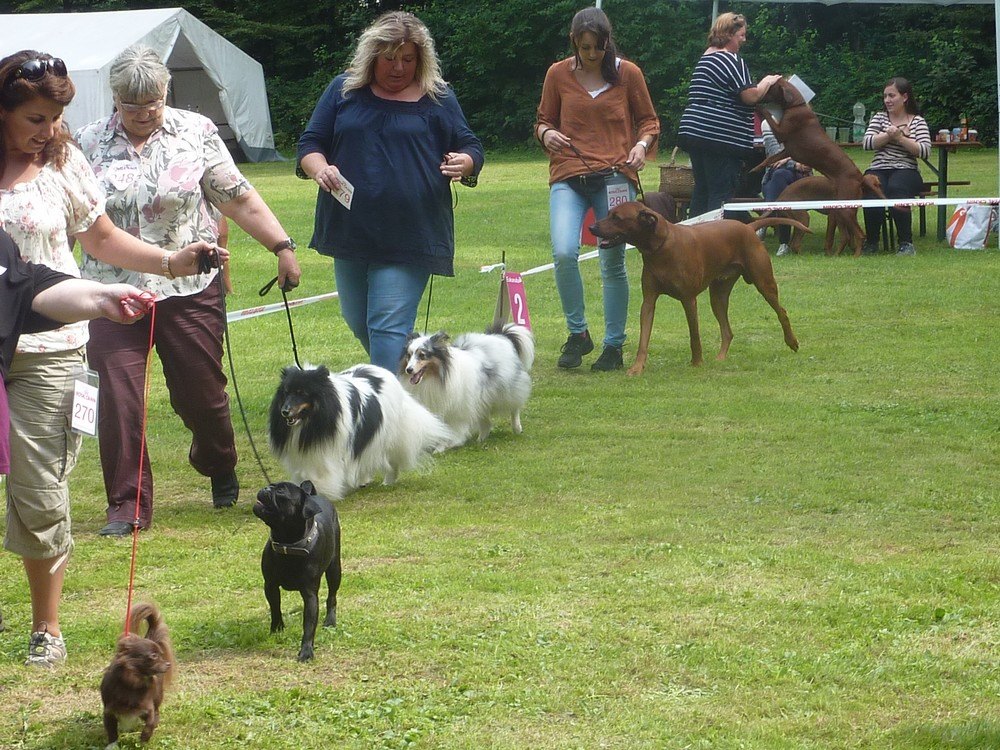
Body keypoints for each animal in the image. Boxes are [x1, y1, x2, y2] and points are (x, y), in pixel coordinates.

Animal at [252, 482, 342, 664]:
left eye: (281, 491)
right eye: (272, 486)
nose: (266, 488)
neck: (289, 545)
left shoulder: (310, 595)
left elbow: (309, 625)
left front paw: (306, 651)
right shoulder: (270, 586)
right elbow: (275, 608)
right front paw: (276, 629)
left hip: (335, 569)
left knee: (332, 597)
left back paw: (330, 621)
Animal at [268, 362, 452, 500]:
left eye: (302, 393)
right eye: (286, 393)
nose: (285, 411)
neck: (311, 421)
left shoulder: (330, 452)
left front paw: (323, 493)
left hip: (387, 437)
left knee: (390, 460)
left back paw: (388, 481)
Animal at [592, 203, 804, 376]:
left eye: (616, 218)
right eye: (608, 213)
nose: (591, 227)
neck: (660, 247)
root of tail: (747, 227)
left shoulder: (688, 299)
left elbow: (694, 335)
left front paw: (697, 363)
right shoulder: (648, 302)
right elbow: (643, 340)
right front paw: (637, 367)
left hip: (764, 282)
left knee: (782, 311)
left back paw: (792, 341)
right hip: (718, 295)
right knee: (727, 331)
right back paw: (720, 358)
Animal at [752, 77, 888, 258]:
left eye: (770, 87)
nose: (756, 85)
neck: (797, 105)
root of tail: (859, 177)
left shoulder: (781, 132)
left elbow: (768, 114)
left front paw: (759, 106)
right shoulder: (787, 150)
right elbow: (769, 160)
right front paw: (754, 169)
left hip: (844, 210)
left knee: (859, 234)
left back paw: (855, 256)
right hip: (845, 209)